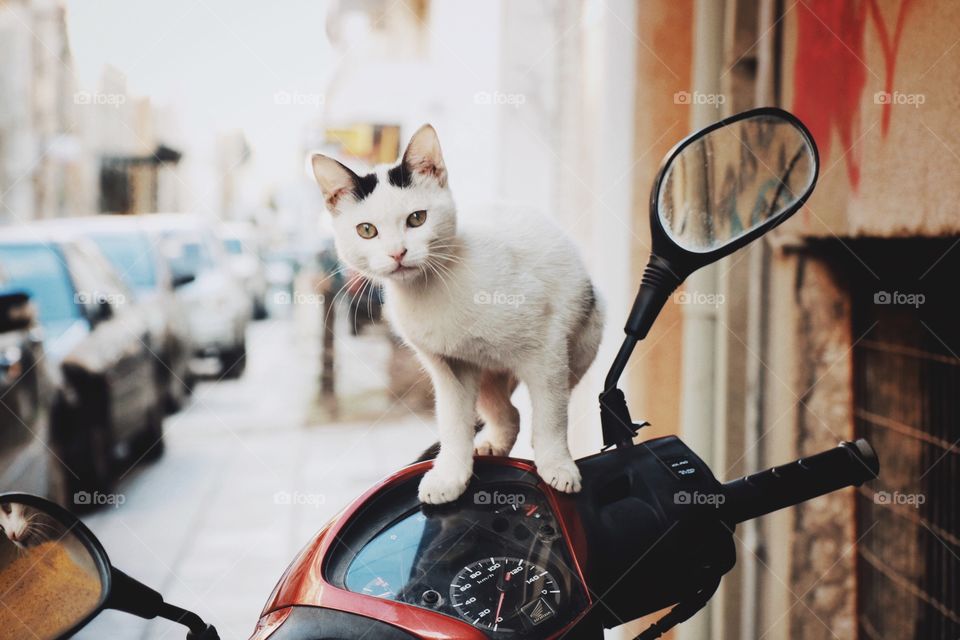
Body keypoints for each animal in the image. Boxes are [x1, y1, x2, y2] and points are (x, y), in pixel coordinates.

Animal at [312, 126, 604, 504]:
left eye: (417, 218)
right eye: (366, 230)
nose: (397, 253)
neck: (431, 289)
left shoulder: (547, 348)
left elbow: (550, 415)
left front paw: (557, 464)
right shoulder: (445, 366)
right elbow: (452, 423)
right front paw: (450, 475)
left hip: (583, 338)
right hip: (481, 370)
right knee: (507, 413)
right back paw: (494, 443)